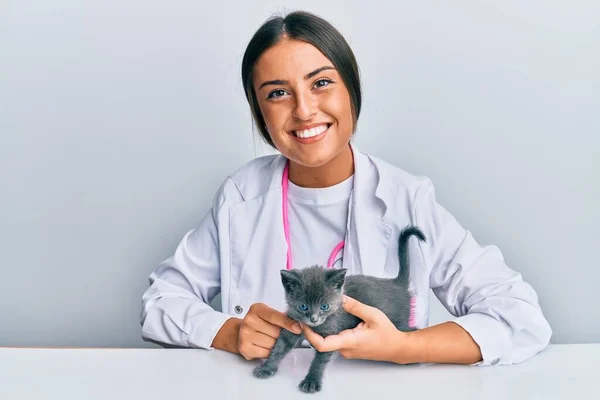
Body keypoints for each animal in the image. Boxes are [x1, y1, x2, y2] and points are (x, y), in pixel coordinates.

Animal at [253, 227, 426, 392]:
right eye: (303, 306)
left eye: (324, 306)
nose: (314, 318)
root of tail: (397, 283)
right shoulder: (293, 325)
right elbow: (280, 347)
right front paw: (267, 367)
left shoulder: (330, 334)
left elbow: (320, 360)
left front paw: (311, 381)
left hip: (398, 323)